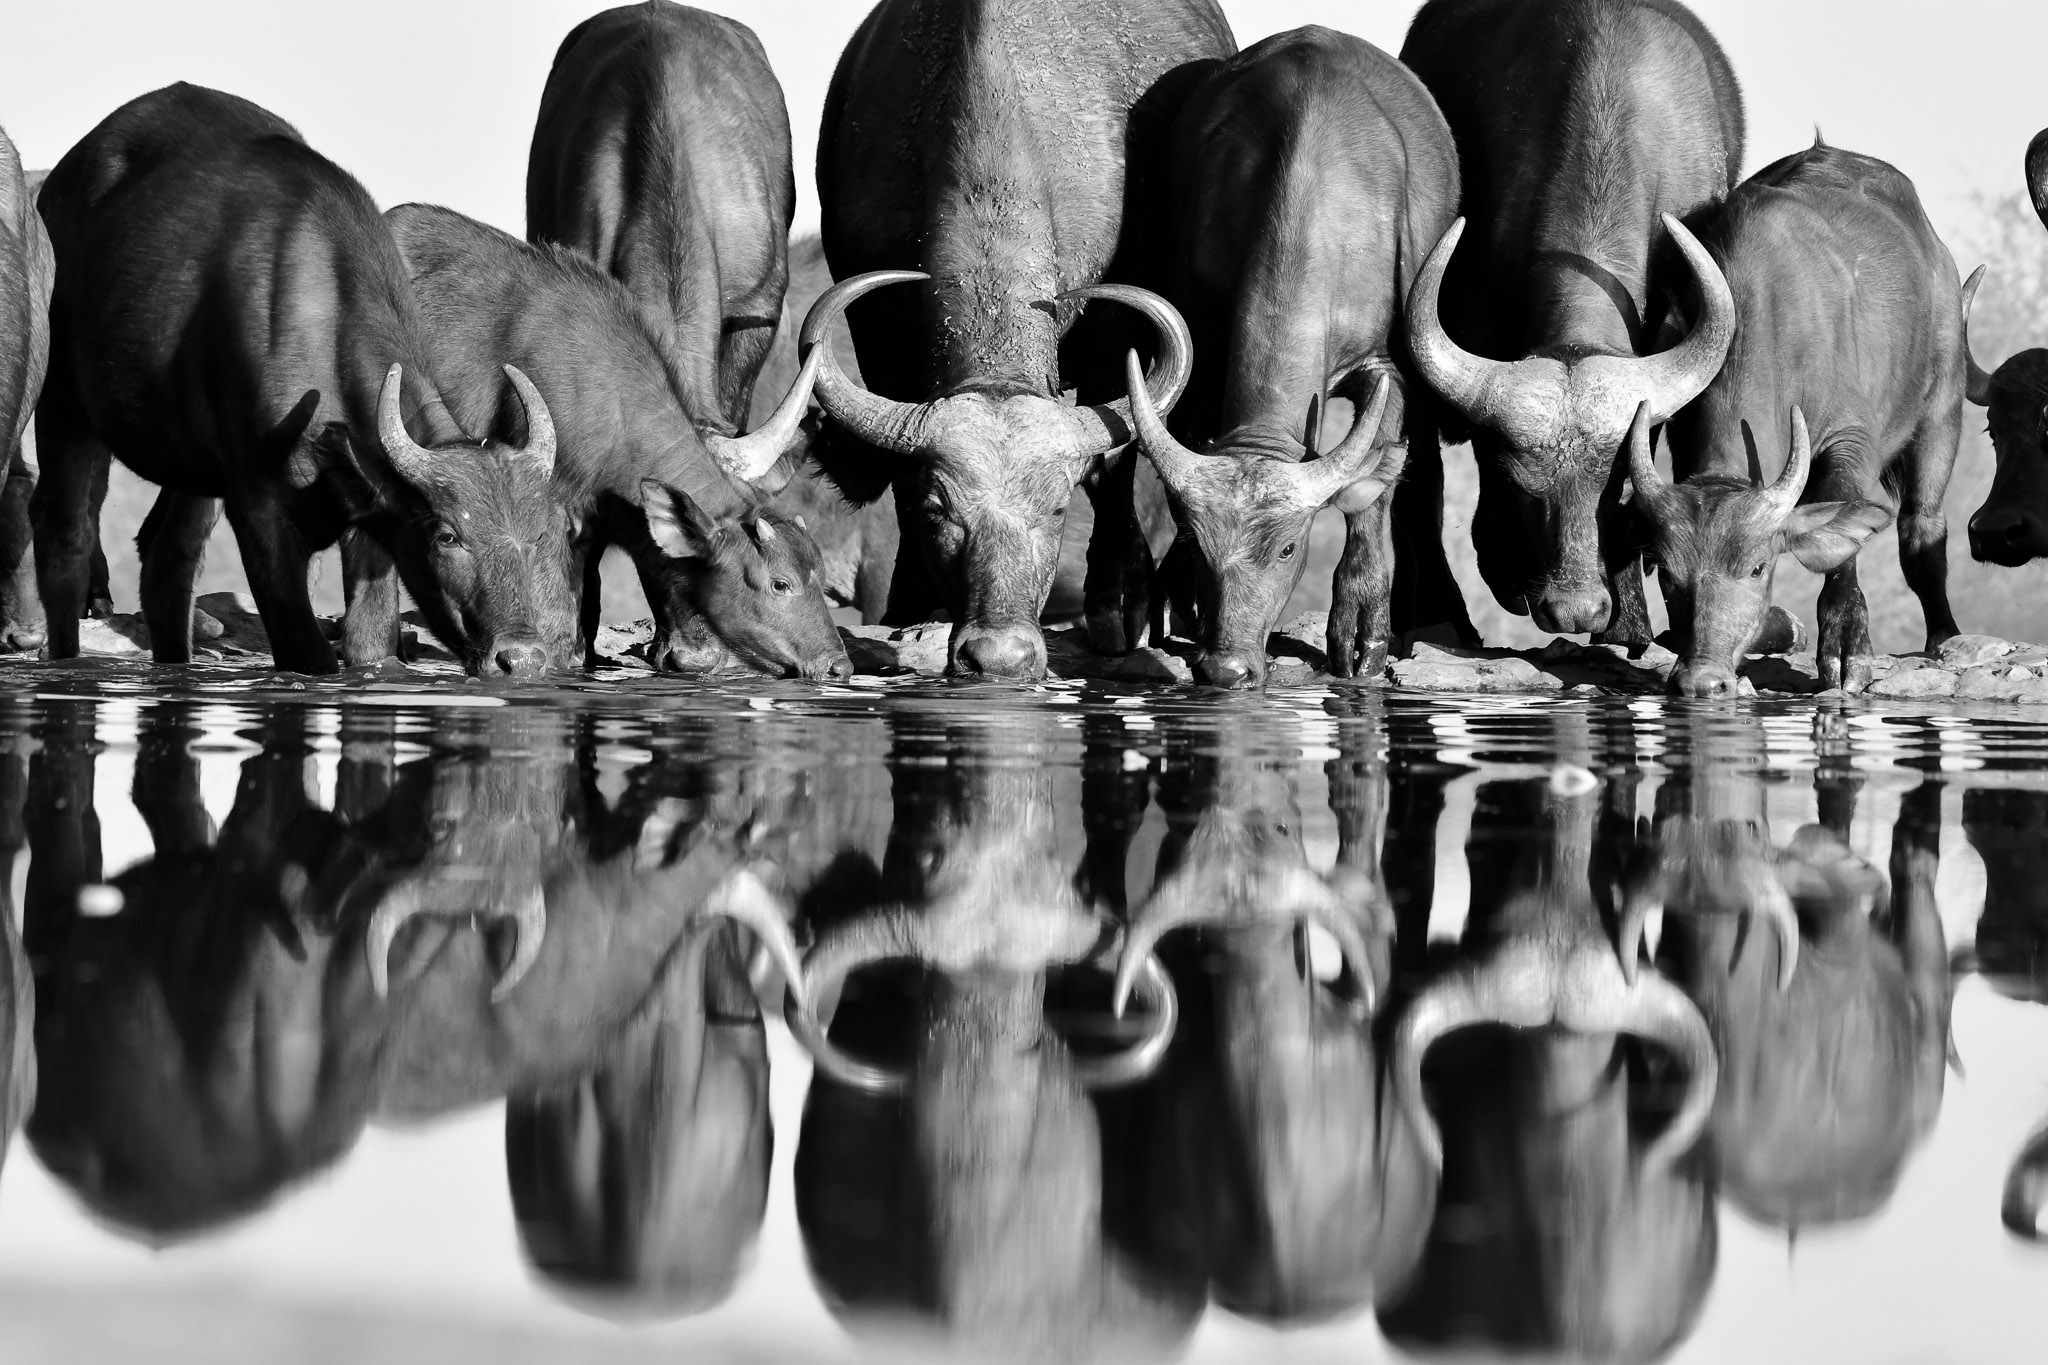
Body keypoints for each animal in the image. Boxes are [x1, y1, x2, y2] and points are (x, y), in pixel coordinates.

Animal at [32, 84, 576, 675]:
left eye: (538, 532)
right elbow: (308, 652)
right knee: (64, 537)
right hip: (63, 406)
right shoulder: (259, 510)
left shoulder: (368, 517)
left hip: (192, 466)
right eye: (448, 535)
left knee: (167, 558)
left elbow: (370, 644)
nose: (520, 658)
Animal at [387, 203, 847, 680]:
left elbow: (584, 622)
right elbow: (558, 628)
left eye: (818, 573)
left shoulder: (592, 529)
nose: (837, 665)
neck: (609, 403)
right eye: (780, 583)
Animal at [799, 0, 1234, 679]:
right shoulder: (876, 340)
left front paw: (1118, 603)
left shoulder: (1115, 339)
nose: (1000, 658)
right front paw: (912, 607)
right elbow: (897, 475)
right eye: (940, 511)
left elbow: (1115, 463)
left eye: (1055, 510)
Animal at [1124, 27, 1466, 687]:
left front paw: (1361, 634)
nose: (1226, 667)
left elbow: (1374, 490)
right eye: (1200, 543)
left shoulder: (1384, 368)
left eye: (1287, 547)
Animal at [1639, 144, 1966, 694]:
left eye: (1757, 568)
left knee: (1921, 527)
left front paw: (1847, 646)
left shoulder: (1850, 438)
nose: (1702, 680)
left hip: (1945, 402)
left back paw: (1944, 635)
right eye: (1666, 573)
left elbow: (1844, 527)